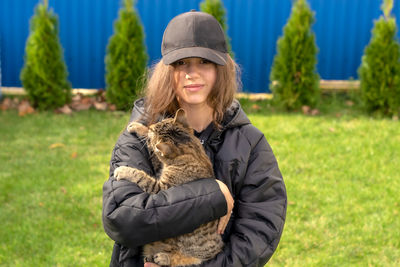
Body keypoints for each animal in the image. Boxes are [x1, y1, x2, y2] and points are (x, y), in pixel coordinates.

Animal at [114, 109, 223, 267]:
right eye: (156, 125)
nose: (151, 125)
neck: (192, 151)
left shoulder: (159, 188)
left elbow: (141, 175)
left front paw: (123, 171)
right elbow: (151, 147)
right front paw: (138, 127)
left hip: (196, 251)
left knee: (186, 260)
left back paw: (164, 257)